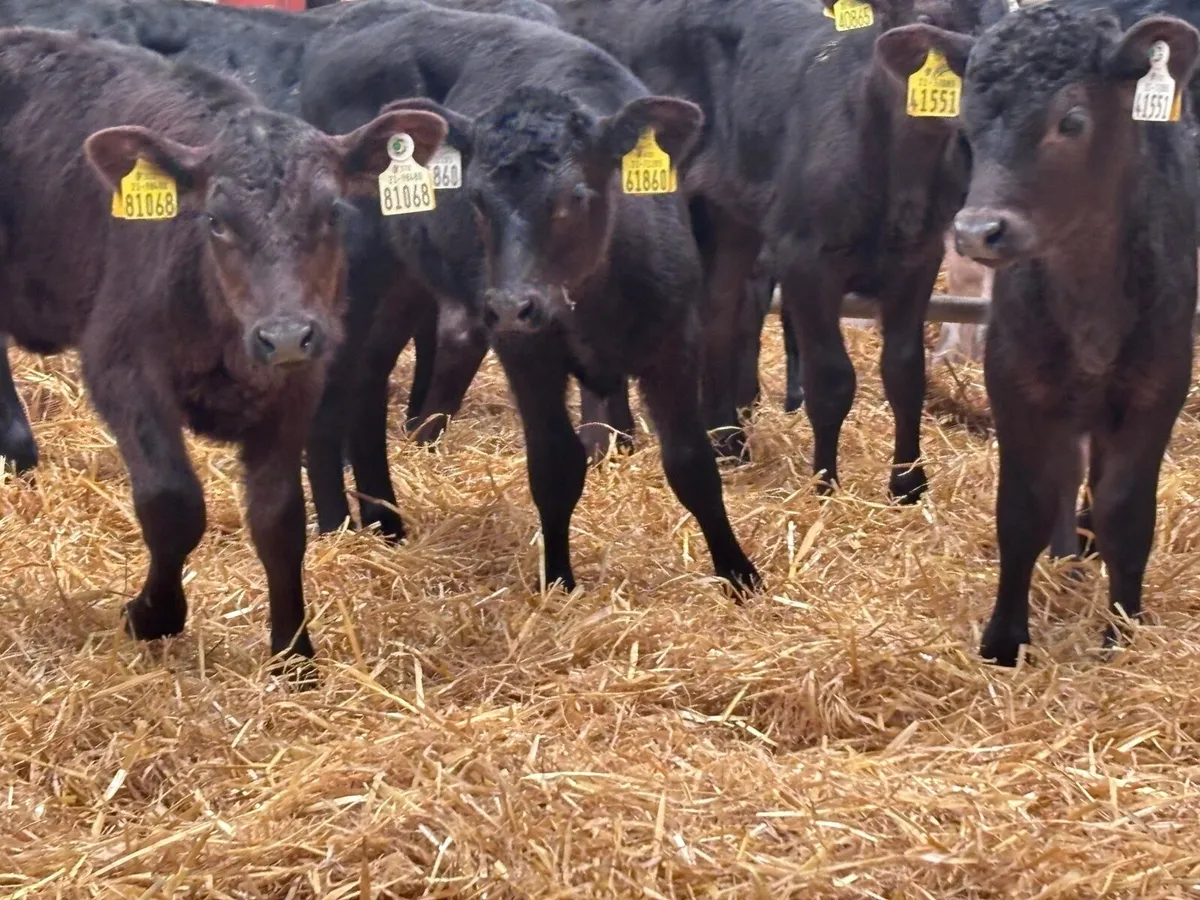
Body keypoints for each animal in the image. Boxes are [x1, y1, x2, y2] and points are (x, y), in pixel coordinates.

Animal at [0, 26, 445, 668]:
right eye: (214, 220)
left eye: (332, 211)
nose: (283, 334)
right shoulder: (120, 365)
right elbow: (173, 501)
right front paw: (153, 614)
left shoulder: (296, 386)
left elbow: (279, 520)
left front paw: (293, 653)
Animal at [301, 5, 762, 592]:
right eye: (476, 199)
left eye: (577, 196)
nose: (510, 306)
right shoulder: (526, 351)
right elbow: (555, 464)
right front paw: (559, 580)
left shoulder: (675, 338)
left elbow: (691, 461)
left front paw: (740, 575)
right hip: (354, 280)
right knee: (330, 392)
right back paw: (335, 525)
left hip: (403, 286)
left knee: (366, 382)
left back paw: (386, 521)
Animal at [932, 2, 1199, 664]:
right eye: (965, 129)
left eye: (1072, 120)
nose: (977, 231)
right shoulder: (1014, 378)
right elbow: (1022, 506)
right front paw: (1004, 639)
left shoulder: (1159, 385)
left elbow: (1127, 513)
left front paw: (1121, 634)